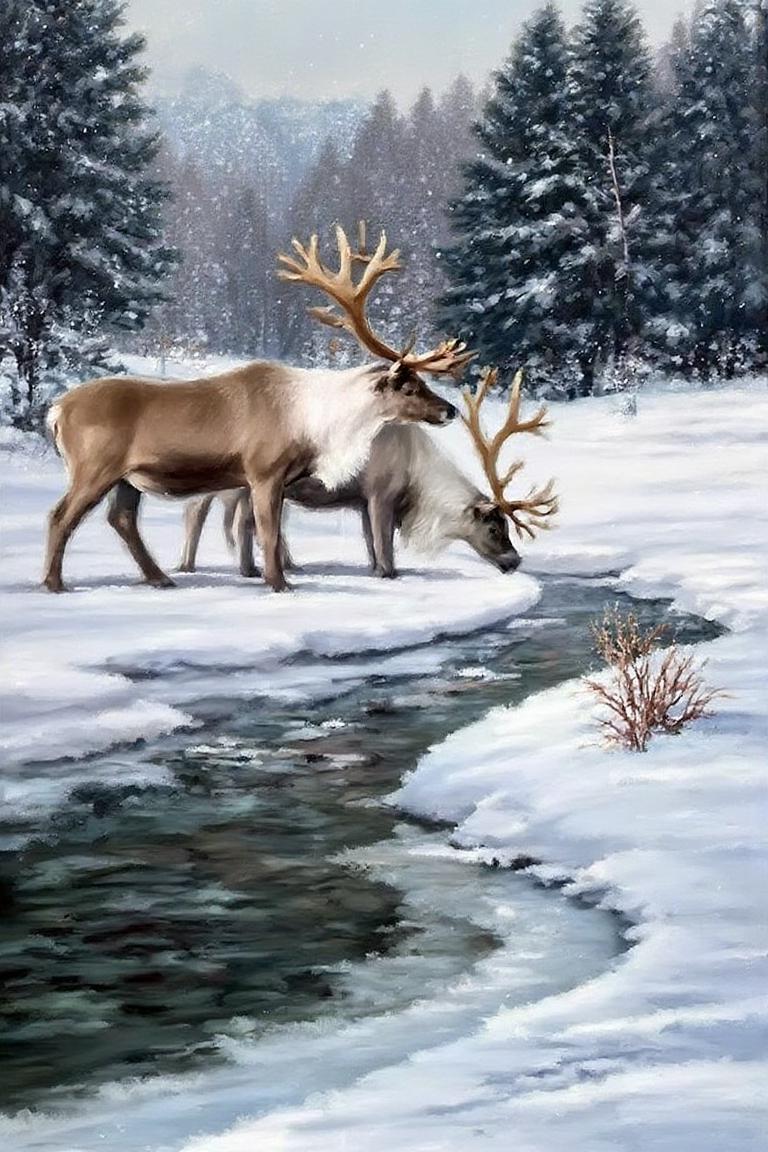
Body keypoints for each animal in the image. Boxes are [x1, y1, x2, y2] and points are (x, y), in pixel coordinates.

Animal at [43, 225, 472, 593]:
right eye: (410, 387)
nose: (450, 410)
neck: (315, 424)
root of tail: (56, 411)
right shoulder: (264, 470)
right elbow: (268, 531)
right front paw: (280, 584)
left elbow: (266, 529)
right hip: (94, 466)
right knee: (61, 515)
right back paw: (55, 583)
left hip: (127, 477)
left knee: (121, 518)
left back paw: (161, 578)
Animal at [178, 368, 558, 580]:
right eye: (494, 528)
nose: (515, 561)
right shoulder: (380, 494)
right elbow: (384, 545)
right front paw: (388, 574)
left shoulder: (362, 501)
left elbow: (371, 544)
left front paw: (374, 569)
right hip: (237, 483)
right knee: (213, 515)